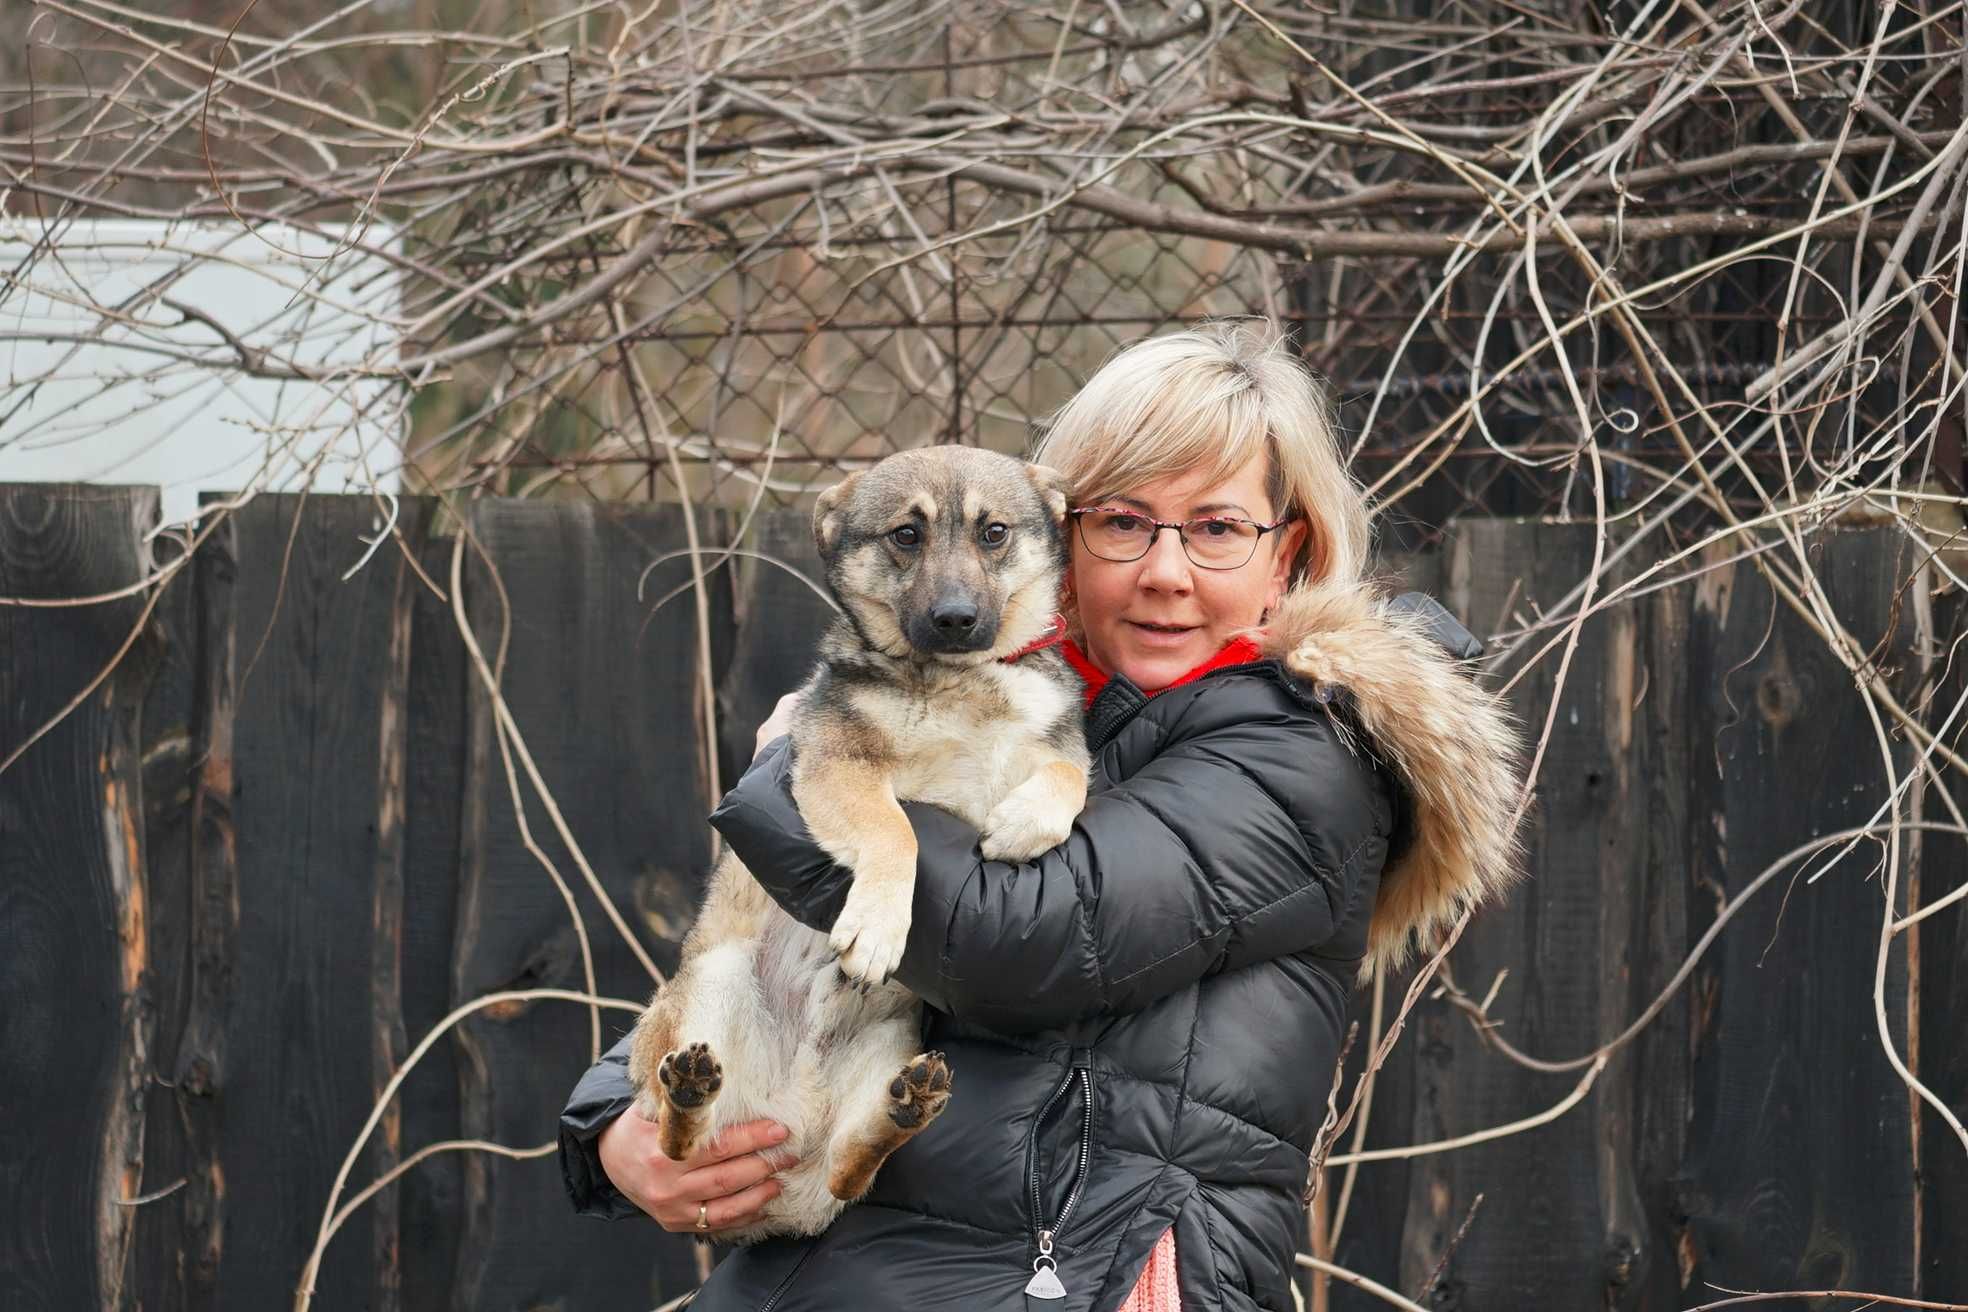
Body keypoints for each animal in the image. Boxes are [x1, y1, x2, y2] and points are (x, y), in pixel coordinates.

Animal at [625, 444, 1094, 1243]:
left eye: (994, 532)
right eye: (906, 535)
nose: (955, 619)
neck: (961, 684)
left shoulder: (1052, 745)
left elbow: (1068, 774)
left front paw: (1023, 822)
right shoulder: (835, 763)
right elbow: (895, 832)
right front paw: (877, 927)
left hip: (890, 1043)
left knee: (853, 1165)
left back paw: (902, 1111)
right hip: (717, 981)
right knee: (681, 1144)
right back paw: (688, 1092)